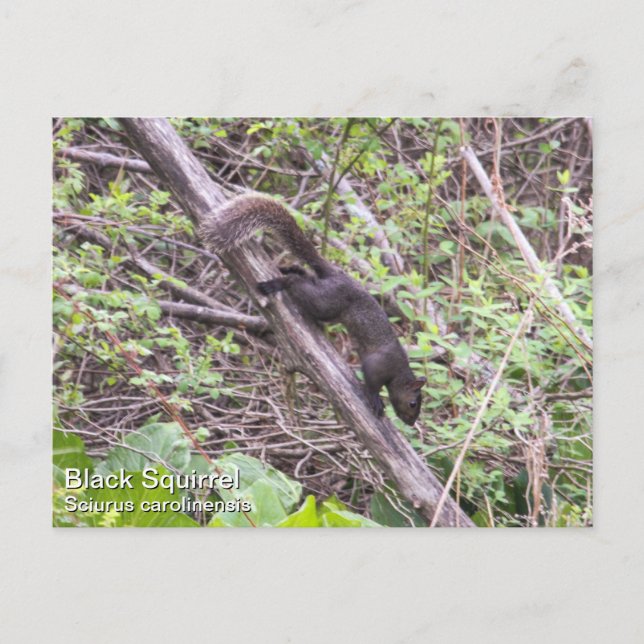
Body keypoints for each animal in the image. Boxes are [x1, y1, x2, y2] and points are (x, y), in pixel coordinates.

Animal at [202, 193, 426, 426]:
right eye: (413, 403)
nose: (411, 422)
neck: (398, 372)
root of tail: (336, 274)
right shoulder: (379, 365)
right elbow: (371, 381)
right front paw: (375, 399)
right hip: (327, 303)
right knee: (298, 284)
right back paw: (279, 282)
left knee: (304, 274)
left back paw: (288, 268)